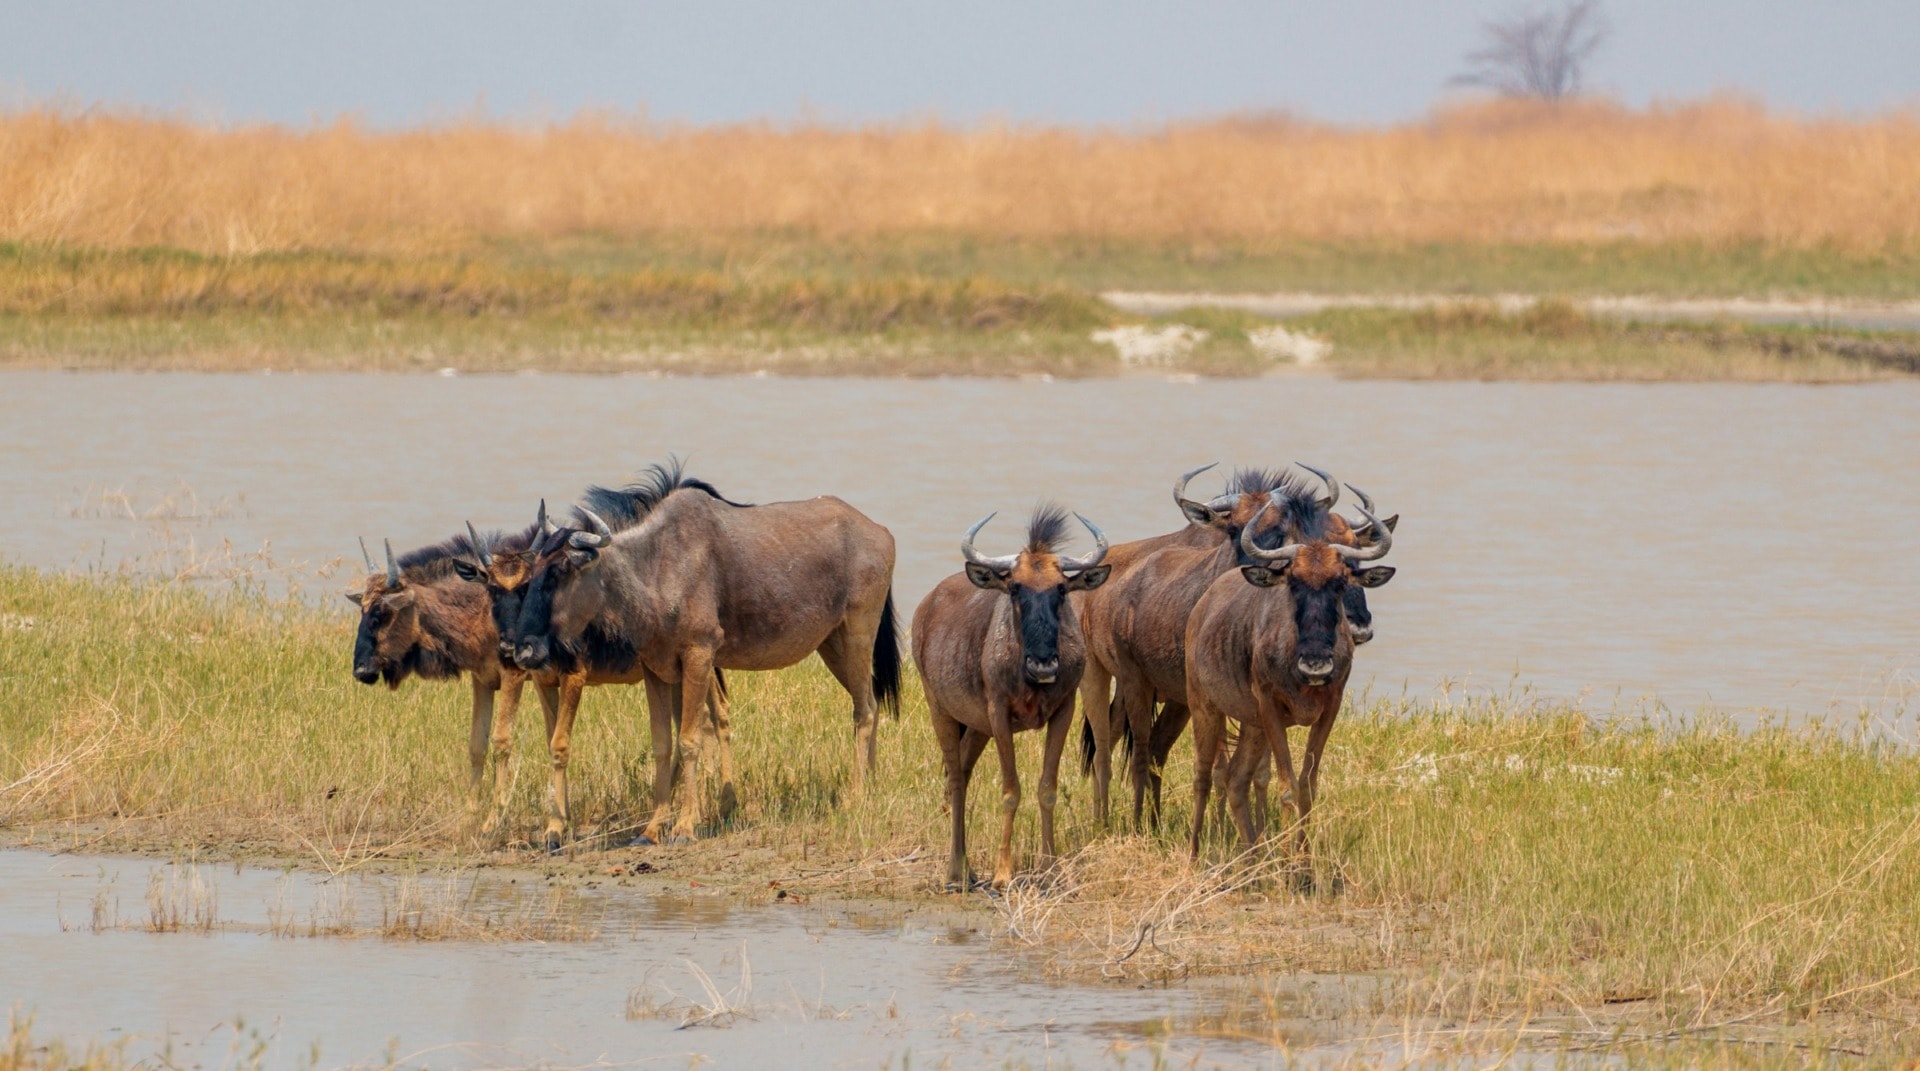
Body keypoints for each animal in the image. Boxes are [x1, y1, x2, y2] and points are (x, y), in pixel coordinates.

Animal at [504, 474, 902, 844]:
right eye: (531, 573)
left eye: (560, 571)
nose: (524, 651)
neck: (657, 568)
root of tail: (881, 533)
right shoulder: (655, 669)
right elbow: (663, 744)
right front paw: (651, 829)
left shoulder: (698, 655)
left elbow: (690, 740)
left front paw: (684, 826)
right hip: (832, 645)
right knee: (871, 703)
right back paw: (872, 787)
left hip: (857, 634)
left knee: (864, 710)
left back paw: (854, 797)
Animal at [913, 506, 1111, 891]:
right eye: (1015, 588)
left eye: (1061, 588)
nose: (1043, 664)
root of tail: (926, 607)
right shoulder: (999, 714)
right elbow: (1010, 790)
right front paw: (1003, 873)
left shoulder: (1063, 710)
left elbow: (1047, 787)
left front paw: (1050, 867)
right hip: (939, 710)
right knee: (955, 782)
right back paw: (955, 871)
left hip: (976, 728)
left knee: (962, 773)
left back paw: (968, 869)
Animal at [1185, 475, 1395, 887]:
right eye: (1293, 582)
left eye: (1340, 581)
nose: (1316, 662)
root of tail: (1202, 607)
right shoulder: (1272, 712)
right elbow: (1286, 788)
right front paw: (1289, 869)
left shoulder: (1328, 711)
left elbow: (1307, 786)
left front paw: (1303, 866)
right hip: (1206, 709)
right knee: (1204, 777)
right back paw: (1195, 858)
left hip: (1250, 725)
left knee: (1236, 779)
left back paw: (1252, 861)